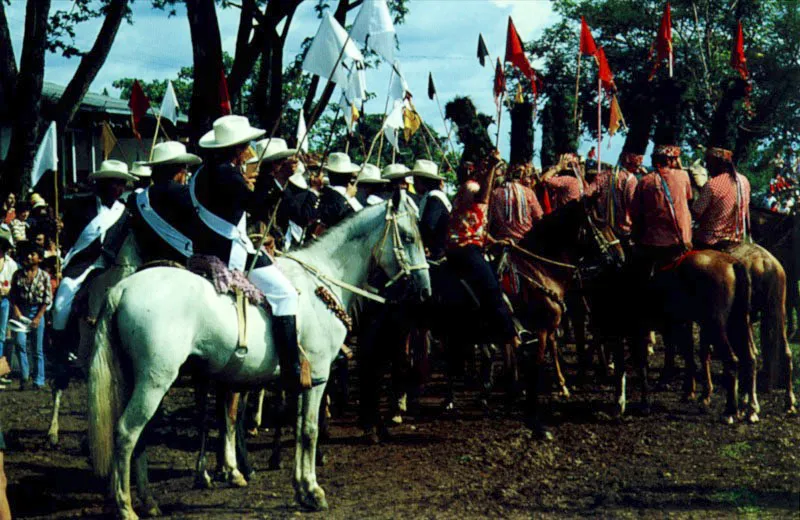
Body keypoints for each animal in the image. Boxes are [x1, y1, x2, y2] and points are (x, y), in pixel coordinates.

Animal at [86, 192, 432, 520]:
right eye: (408, 237)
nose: (425, 290)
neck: (321, 282)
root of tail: (121, 289)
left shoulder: (301, 382)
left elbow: (297, 429)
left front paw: (300, 488)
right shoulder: (319, 377)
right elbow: (309, 431)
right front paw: (313, 491)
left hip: (138, 381)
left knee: (140, 437)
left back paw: (149, 502)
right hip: (154, 382)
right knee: (126, 432)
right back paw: (126, 507)